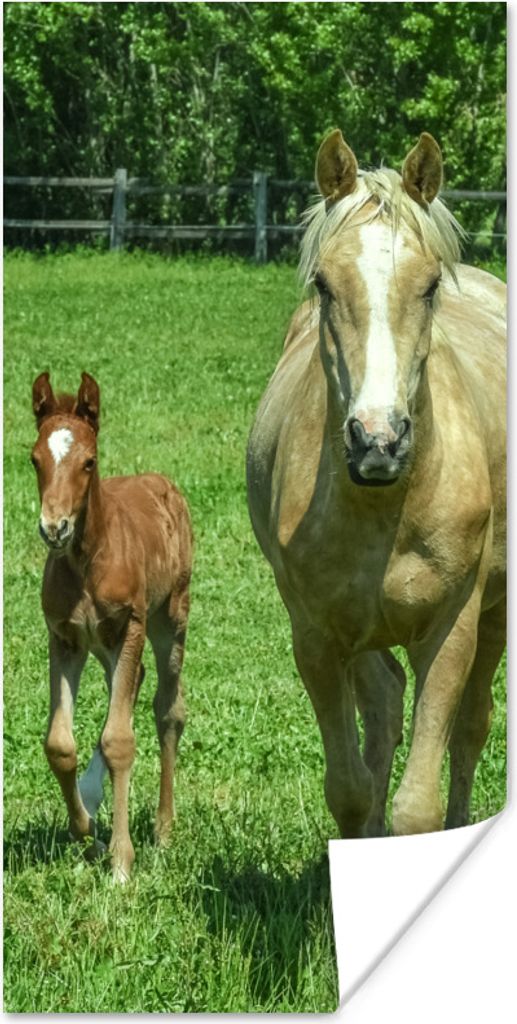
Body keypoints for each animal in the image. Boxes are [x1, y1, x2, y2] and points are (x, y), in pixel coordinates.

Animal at [31, 371, 193, 880]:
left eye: (89, 461)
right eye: (34, 459)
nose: (54, 527)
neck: (88, 560)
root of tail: (162, 482)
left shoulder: (130, 627)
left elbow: (119, 738)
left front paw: (122, 861)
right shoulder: (64, 637)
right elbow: (60, 744)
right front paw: (89, 832)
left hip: (168, 620)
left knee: (167, 708)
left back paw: (163, 830)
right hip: (103, 645)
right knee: (131, 684)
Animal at [247, 131, 506, 838]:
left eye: (429, 285)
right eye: (323, 283)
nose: (378, 440)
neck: (386, 506)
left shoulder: (451, 631)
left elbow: (418, 804)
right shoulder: (316, 637)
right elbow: (350, 790)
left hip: (494, 614)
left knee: (471, 729)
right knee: (385, 710)